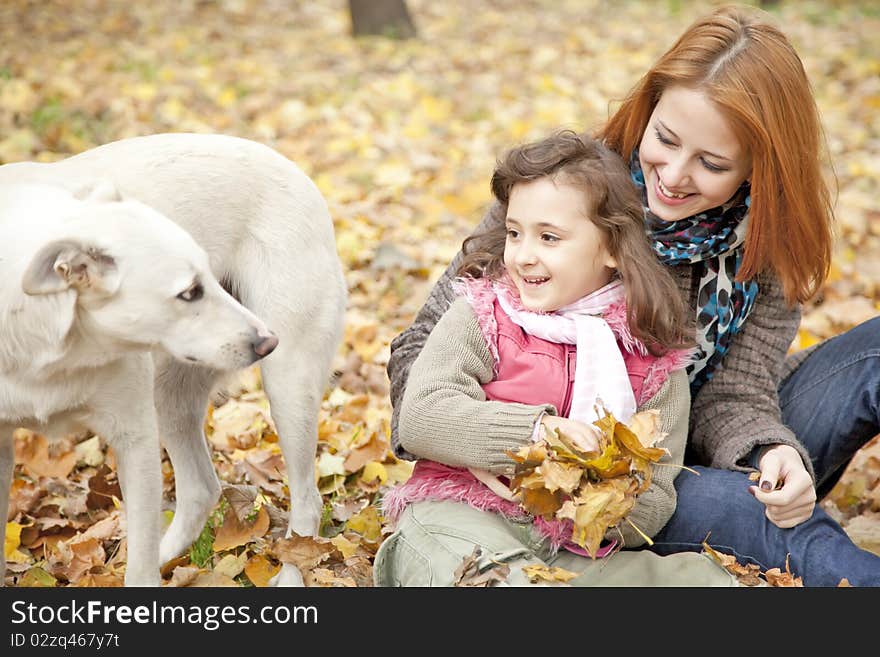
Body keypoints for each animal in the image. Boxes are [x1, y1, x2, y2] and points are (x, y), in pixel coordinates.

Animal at [1, 133, 348, 584]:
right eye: (189, 292)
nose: (266, 340)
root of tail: (293, 169)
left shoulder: (134, 437)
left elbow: (141, 567)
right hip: (168, 395)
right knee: (202, 489)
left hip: (288, 385)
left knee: (307, 500)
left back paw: (290, 573)